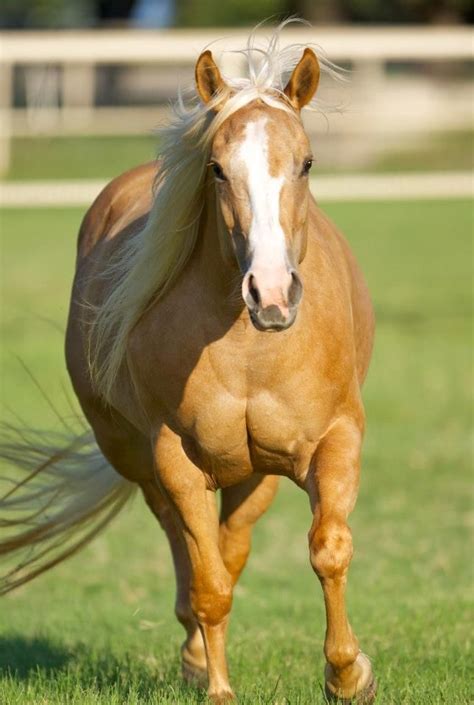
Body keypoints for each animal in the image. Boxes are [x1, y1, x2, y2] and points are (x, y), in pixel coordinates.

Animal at [1, 27, 376, 704]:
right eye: (217, 168)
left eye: (306, 163)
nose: (272, 294)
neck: (253, 349)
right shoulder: (175, 458)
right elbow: (209, 584)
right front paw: (218, 686)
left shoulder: (337, 440)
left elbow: (328, 550)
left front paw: (347, 673)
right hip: (145, 464)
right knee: (189, 552)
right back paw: (197, 657)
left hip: (255, 474)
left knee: (233, 544)